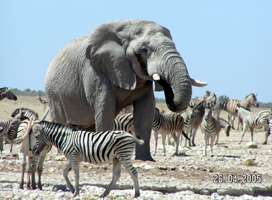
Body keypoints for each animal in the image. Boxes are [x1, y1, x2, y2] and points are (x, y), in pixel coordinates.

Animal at [45, 20, 206, 161]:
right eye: (145, 50)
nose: (162, 80)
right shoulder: (96, 71)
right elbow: (105, 110)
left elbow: (145, 113)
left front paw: (145, 160)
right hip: (54, 95)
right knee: (62, 122)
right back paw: (62, 155)